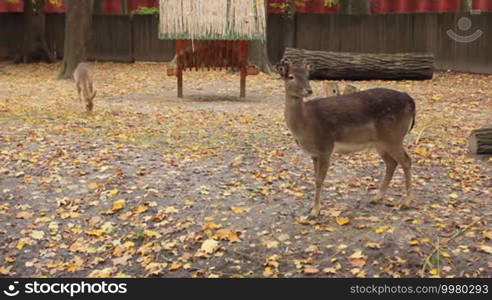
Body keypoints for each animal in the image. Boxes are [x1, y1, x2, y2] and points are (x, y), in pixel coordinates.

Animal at [276, 59, 416, 218]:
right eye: (291, 76)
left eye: (307, 75)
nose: (308, 90)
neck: (305, 125)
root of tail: (411, 101)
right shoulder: (314, 153)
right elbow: (314, 178)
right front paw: (313, 208)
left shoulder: (325, 147)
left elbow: (319, 180)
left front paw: (315, 211)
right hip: (381, 143)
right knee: (391, 163)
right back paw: (376, 198)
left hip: (394, 137)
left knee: (406, 160)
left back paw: (406, 202)